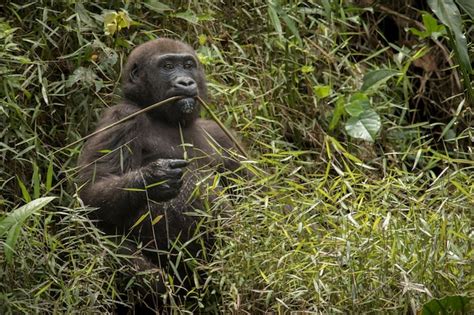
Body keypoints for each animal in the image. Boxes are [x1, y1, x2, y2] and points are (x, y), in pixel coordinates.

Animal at [77, 39, 241, 296]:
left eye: (188, 65)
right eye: (167, 66)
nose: (186, 82)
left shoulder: (222, 135)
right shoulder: (121, 118)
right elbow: (90, 193)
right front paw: (154, 178)